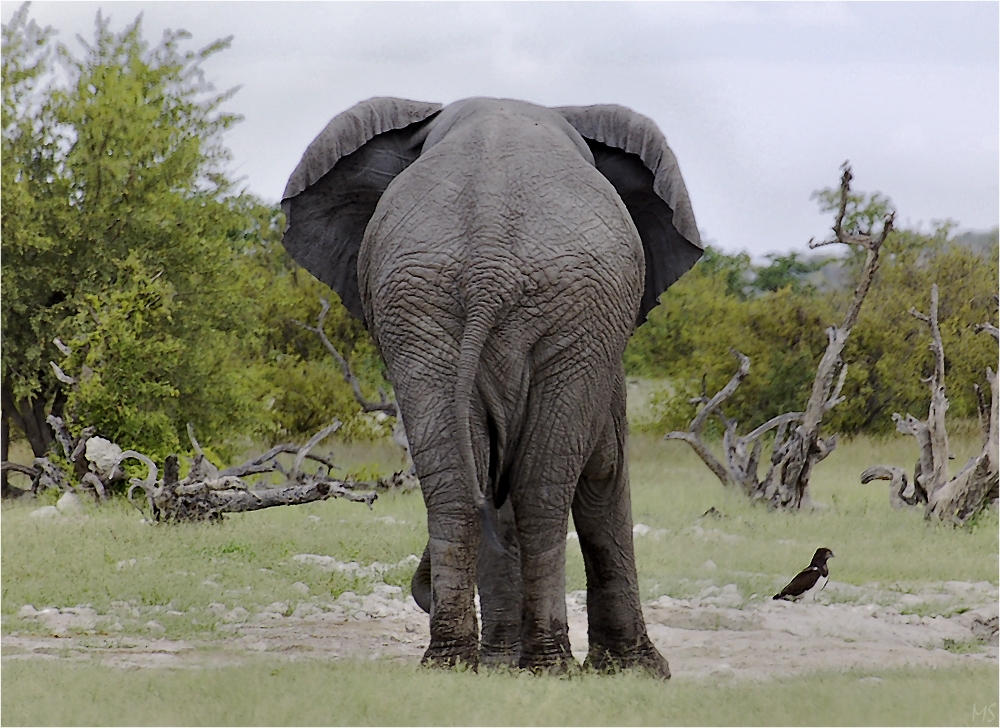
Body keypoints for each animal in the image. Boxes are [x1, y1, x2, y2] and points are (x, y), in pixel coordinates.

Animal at [282, 96, 704, 676]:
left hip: (425, 311)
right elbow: (604, 468)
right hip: (561, 313)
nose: (419, 591)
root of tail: (489, 261)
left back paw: (452, 663)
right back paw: (549, 666)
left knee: (461, 484)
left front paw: (505, 665)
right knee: (540, 489)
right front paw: (641, 671)